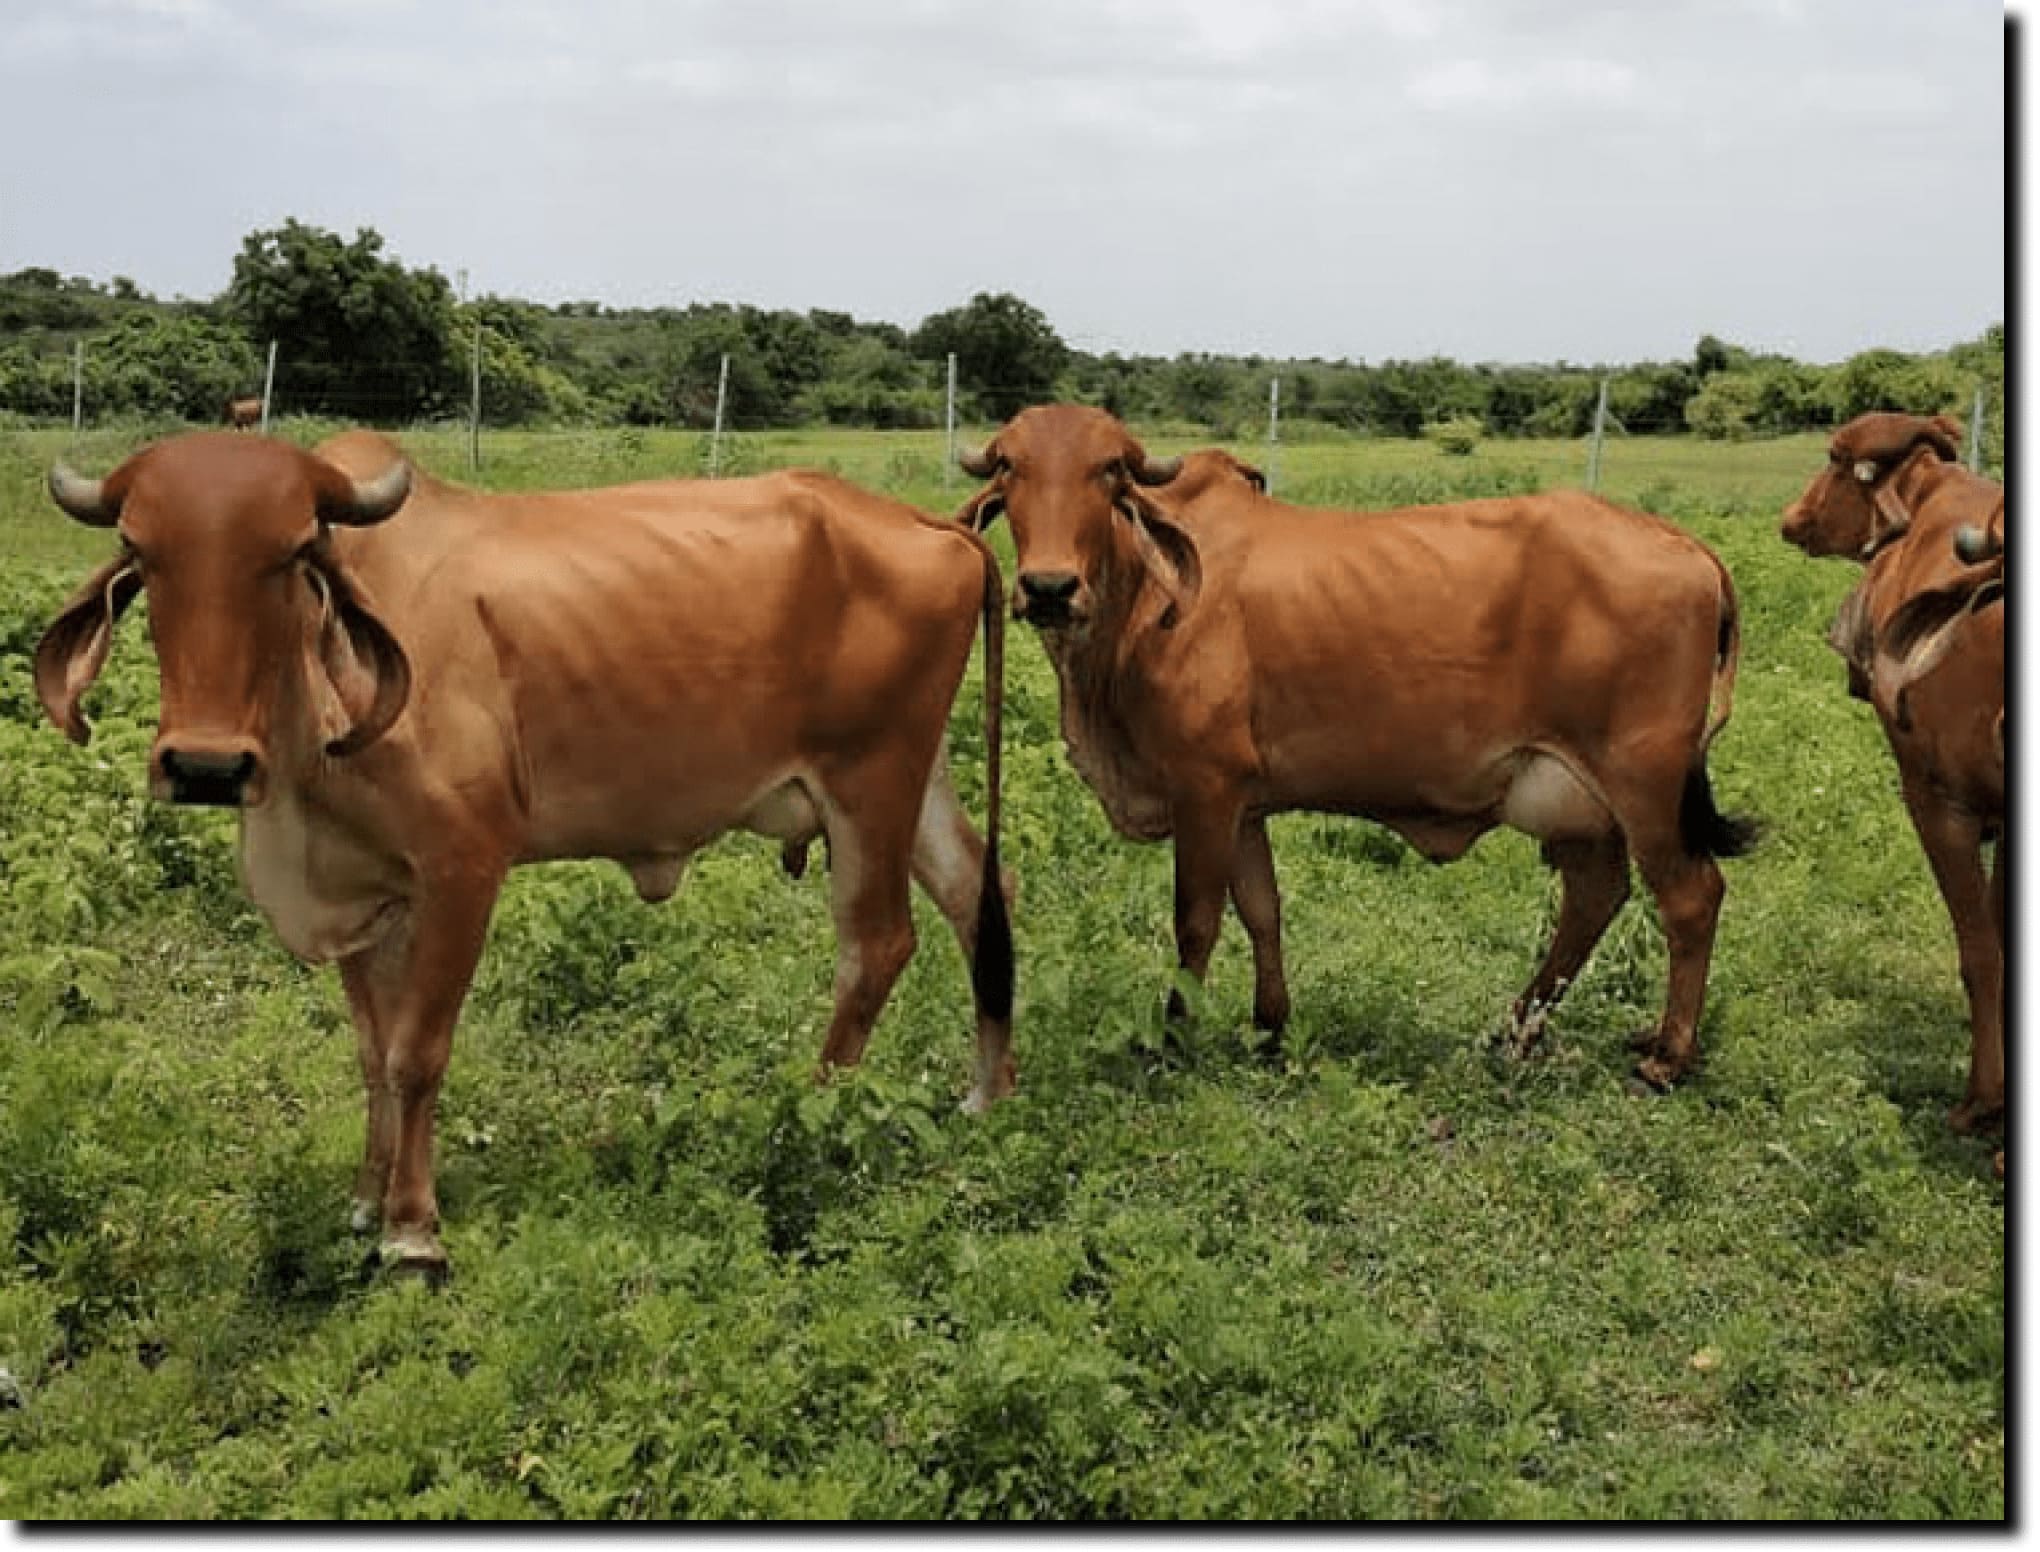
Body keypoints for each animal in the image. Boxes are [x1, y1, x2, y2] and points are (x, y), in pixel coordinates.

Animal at [35, 430, 1014, 1278]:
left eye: (292, 552)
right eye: (140, 550)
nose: (206, 765)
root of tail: (934, 525)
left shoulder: (464, 868)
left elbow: (416, 1053)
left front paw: (411, 1232)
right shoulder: (366, 893)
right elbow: (371, 1054)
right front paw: (365, 1199)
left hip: (868, 783)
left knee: (877, 945)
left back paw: (811, 1115)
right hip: (914, 781)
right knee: (977, 894)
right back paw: (988, 1095)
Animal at [957, 405, 1754, 1091]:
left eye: (1108, 473)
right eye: (1011, 467)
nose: (1049, 587)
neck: (1138, 607)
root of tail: (1689, 547)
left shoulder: (1203, 788)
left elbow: (1196, 923)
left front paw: (1175, 1040)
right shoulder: (1243, 802)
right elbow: (1263, 911)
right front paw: (1270, 1028)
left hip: (1644, 785)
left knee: (1690, 897)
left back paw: (1666, 1055)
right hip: (1580, 803)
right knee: (1596, 898)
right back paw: (1516, 1029)